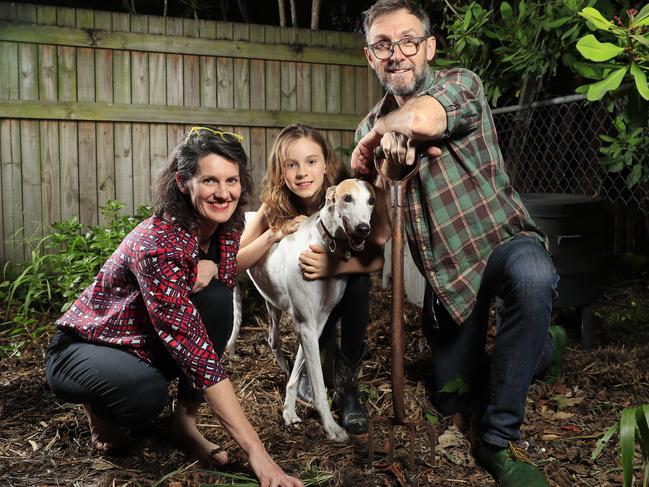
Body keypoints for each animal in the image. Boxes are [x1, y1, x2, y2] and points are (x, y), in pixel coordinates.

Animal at [229, 179, 374, 442]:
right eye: (347, 197)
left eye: (371, 201)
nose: (363, 229)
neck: (324, 243)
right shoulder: (306, 324)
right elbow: (317, 383)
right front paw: (331, 427)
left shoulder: (315, 324)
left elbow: (298, 374)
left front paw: (289, 411)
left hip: (271, 301)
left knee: (272, 338)